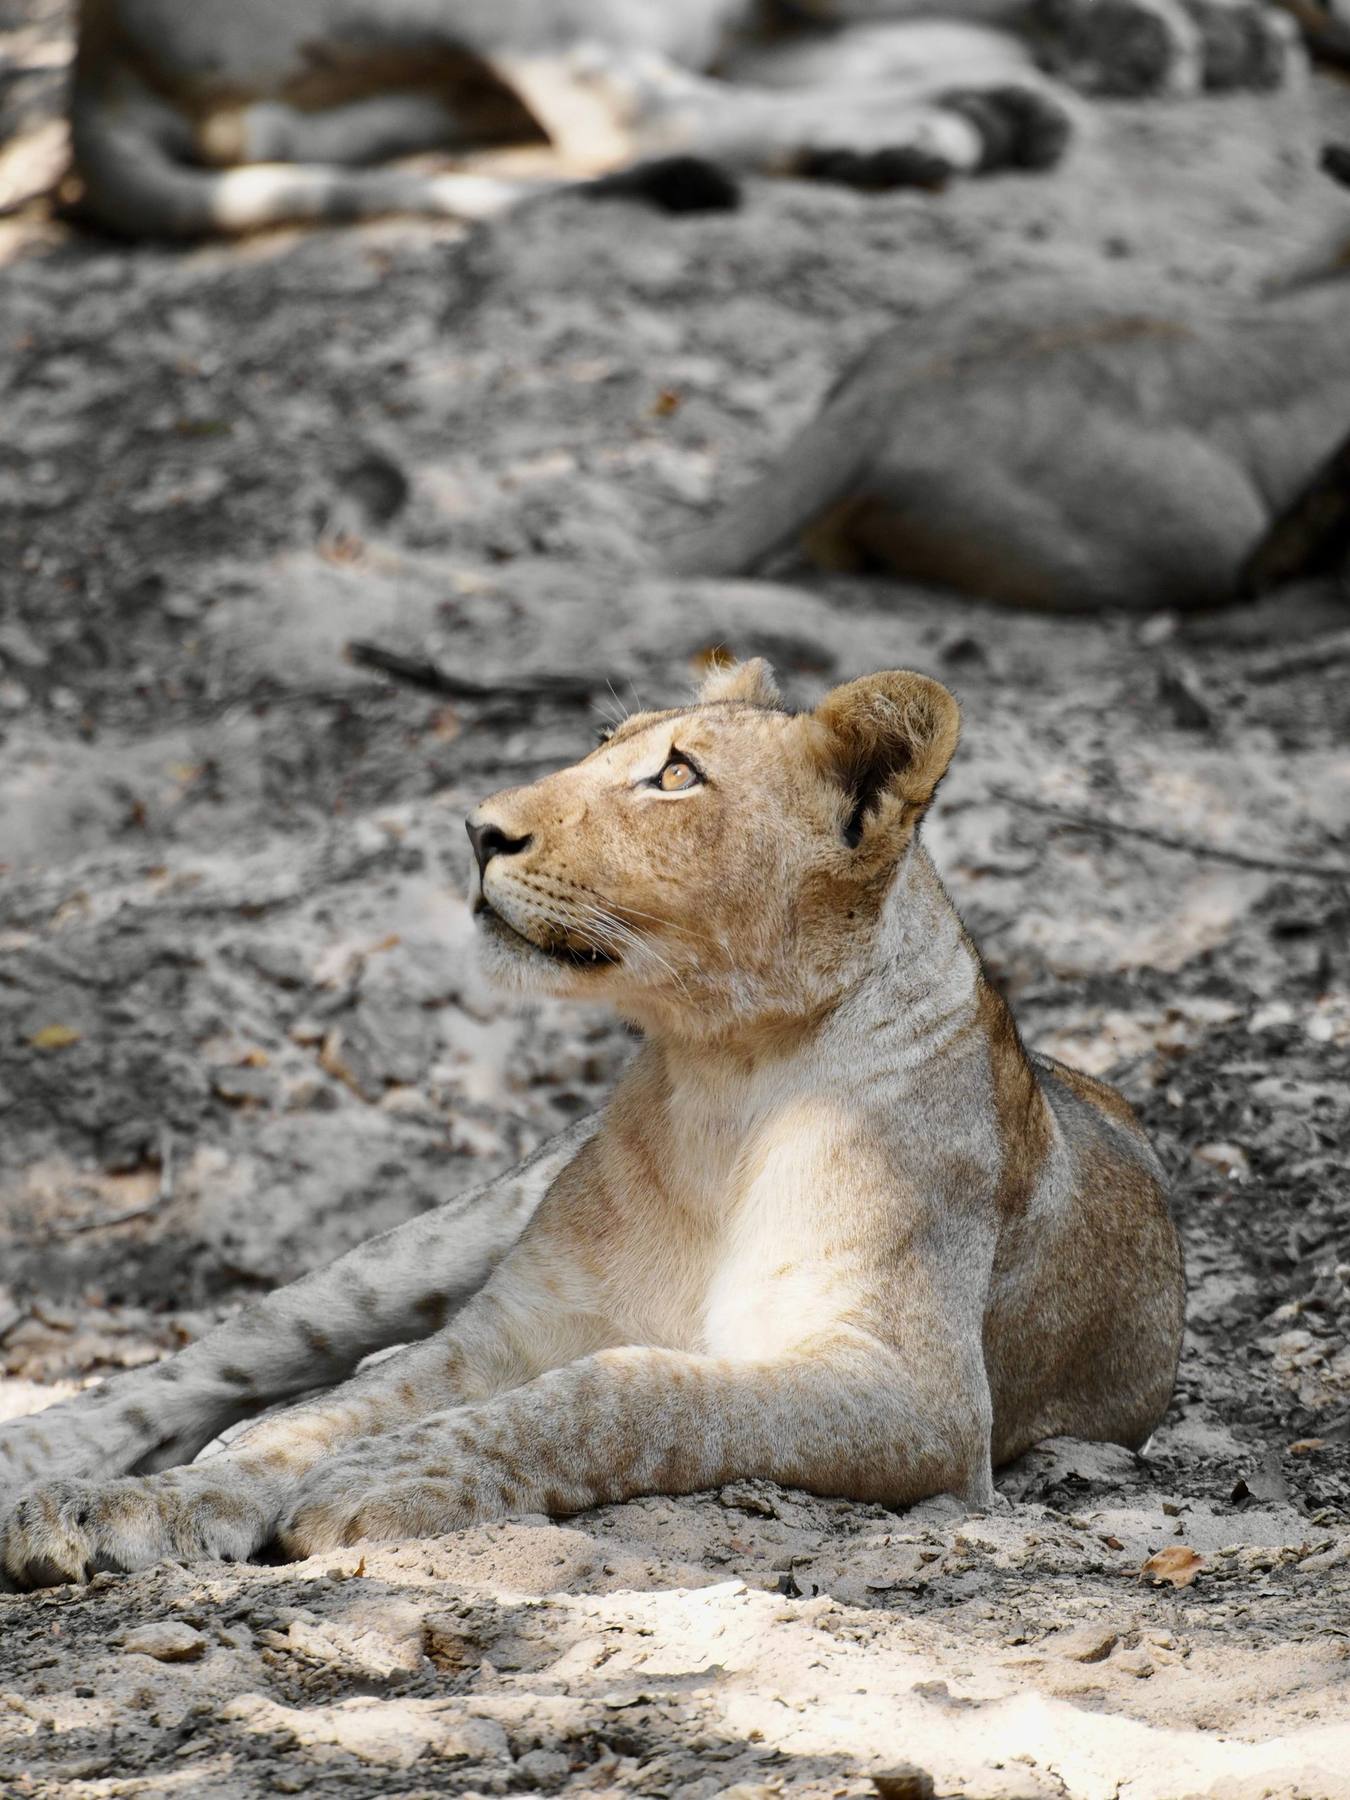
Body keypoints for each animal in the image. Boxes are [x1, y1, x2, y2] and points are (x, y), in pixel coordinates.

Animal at [0, 661, 1183, 1589]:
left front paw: (388, 1477)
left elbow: (625, 1390)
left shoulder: (920, 1396)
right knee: (229, 1362)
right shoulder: (514, 1324)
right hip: (431, 1242)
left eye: (676, 775)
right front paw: (128, 1505)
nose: (479, 829)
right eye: (600, 745)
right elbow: (334, 1415)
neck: (723, 1080)